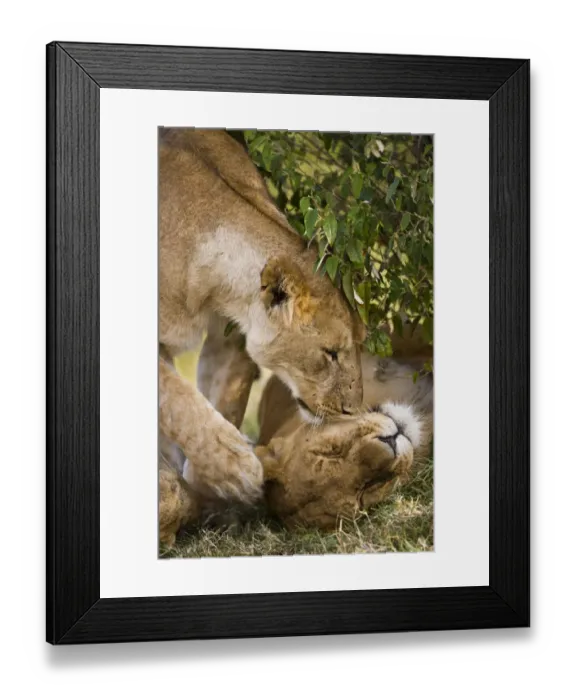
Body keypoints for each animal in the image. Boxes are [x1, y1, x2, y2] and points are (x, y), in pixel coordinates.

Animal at [158, 128, 364, 506]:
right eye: (330, 353)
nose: (353, 411)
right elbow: (177, 400)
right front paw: (236, 469)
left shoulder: (230, 339)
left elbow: (225, 398)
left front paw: (210, 480)